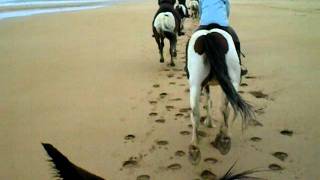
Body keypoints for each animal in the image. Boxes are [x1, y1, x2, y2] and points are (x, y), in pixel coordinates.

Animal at [186, 27, 254, 163]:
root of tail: (208, 35)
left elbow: (208, 102)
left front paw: (209, 122)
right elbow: (213, 103)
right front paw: (210, 123)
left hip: (196, 83)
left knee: (196, 111)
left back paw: (195, 148)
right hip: (233, 81)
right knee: (228, 108)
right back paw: (224, 138)